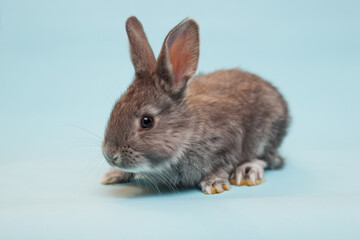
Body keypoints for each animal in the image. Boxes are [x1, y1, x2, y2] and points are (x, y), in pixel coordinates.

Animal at [100, 15, 290, 194]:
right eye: (115, 109)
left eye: (147, 121)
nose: (110, 155)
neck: (188, 132)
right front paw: (113, 175)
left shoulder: (229, 141)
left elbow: (224, 164)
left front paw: (214, 184)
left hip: (266, 135)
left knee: (271, 159)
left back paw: (247, 172)